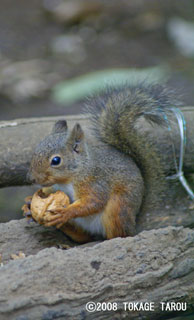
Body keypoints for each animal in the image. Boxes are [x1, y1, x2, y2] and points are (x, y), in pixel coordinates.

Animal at [24, 82, 186, 242]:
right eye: (36, 149)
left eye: (56, 160)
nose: (31, 179)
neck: (73, 175)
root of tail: (135, 219)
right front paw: (29, 202)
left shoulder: (95, 182)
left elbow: (94, 201)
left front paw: (66, 212)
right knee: (83, 237)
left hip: (117, 209)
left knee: (119, 234)